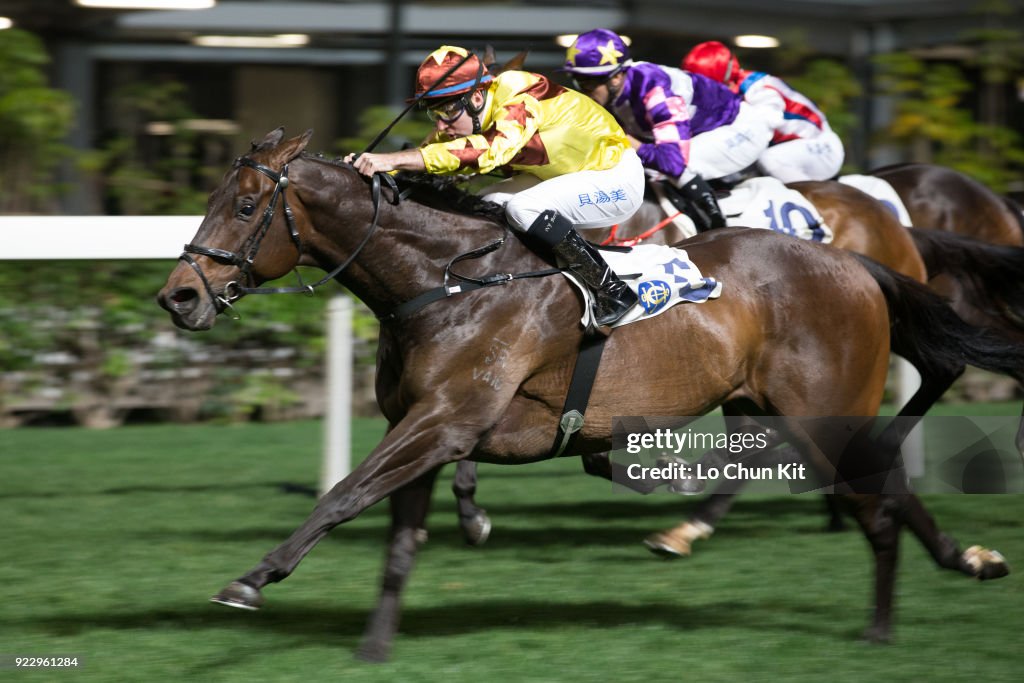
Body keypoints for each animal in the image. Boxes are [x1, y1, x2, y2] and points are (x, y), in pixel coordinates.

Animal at [155, 129, 1011, 663]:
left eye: (242, 206)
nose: (178, 297)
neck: (447, 280)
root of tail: (857, 262)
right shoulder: (425, 426)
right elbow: (399, 541)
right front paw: (374, 645)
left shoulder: (443, 422)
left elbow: (340, 494)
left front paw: (251, 579)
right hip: (791, 409)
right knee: (885, 484)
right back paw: (967, 558)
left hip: (821, 411)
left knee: (875, 501)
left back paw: (879, 626)